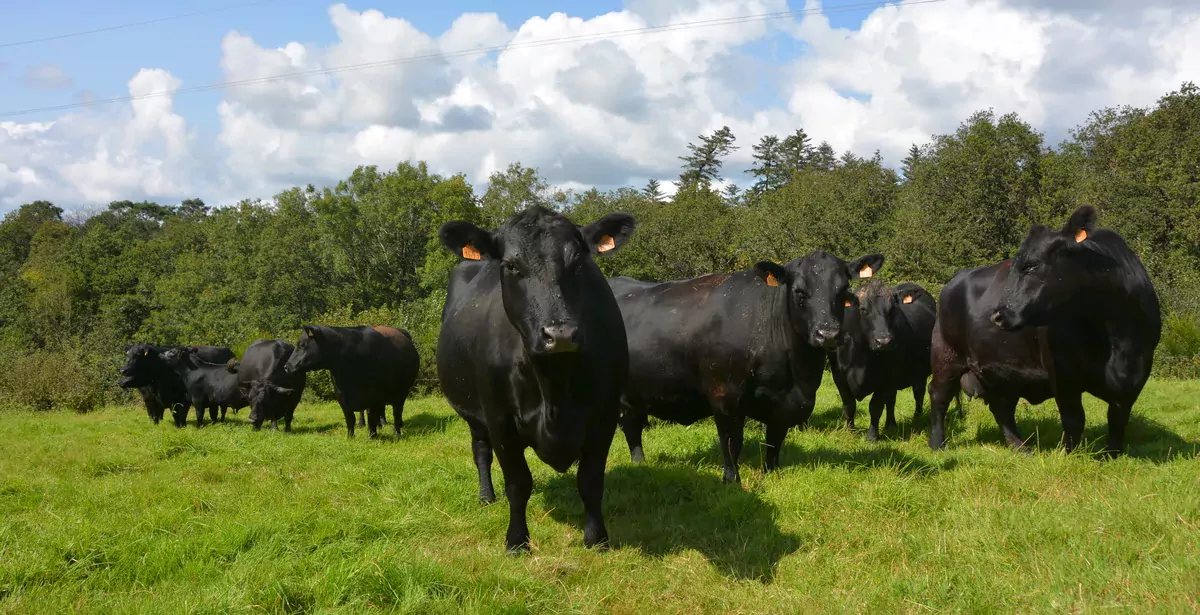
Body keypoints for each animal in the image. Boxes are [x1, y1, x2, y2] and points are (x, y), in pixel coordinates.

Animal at [280, 321, 417, 437]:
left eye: (302, 345)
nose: (287, 366)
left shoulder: (373, 394)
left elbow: (371, 417)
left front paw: (373, 436)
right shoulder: (341, 395)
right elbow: (350, 418)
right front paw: (350, 437)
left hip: (401, 391)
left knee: (397, 412)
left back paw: (397, 432)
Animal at [436, 205, 633, 552]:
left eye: (578, 263)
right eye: (511, 265)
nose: (560, 334)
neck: (555, 387)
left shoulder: (605, 415)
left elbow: (591, 480)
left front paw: (597, 538)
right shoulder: (500, 419)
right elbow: (518, 483)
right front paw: (516, 541)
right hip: (475, 414)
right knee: (481, 451)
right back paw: (486, 496)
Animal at [609, 247, 883, 482]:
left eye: (843, 290)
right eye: (799, 292)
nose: (827, 334)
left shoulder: (786, 403)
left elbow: (774, 440)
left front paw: (771, 472)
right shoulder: (724, 396)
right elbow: (731, 441)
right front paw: (732, 480)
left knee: (632, 427)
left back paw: (640, 463)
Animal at [835, 281, 936, 439]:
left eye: (892, 309)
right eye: (863, 309)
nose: (883, 341)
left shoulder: (886, 378)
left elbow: (875, 406)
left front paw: (872, 436)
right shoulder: (839, 377)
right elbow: (849, 405)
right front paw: (850, 431)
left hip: (919, 373)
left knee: (918, 393)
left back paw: (916, 418)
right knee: (892, 400)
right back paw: (891, 425)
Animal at [921, 206, 1156, 456]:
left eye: (1032, 265)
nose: (997, 314)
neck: (1113, 336)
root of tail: (957, 278)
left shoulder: (1136, 373)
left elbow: (1118, 417)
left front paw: (1112, 454)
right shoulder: (1062, 371)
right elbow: (1074, 417)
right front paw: (1068, 454)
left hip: (1000, 368)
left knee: (1002, 406)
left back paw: (1020, 447)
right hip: (947, 356)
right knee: (939, 394)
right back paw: (938, 444)